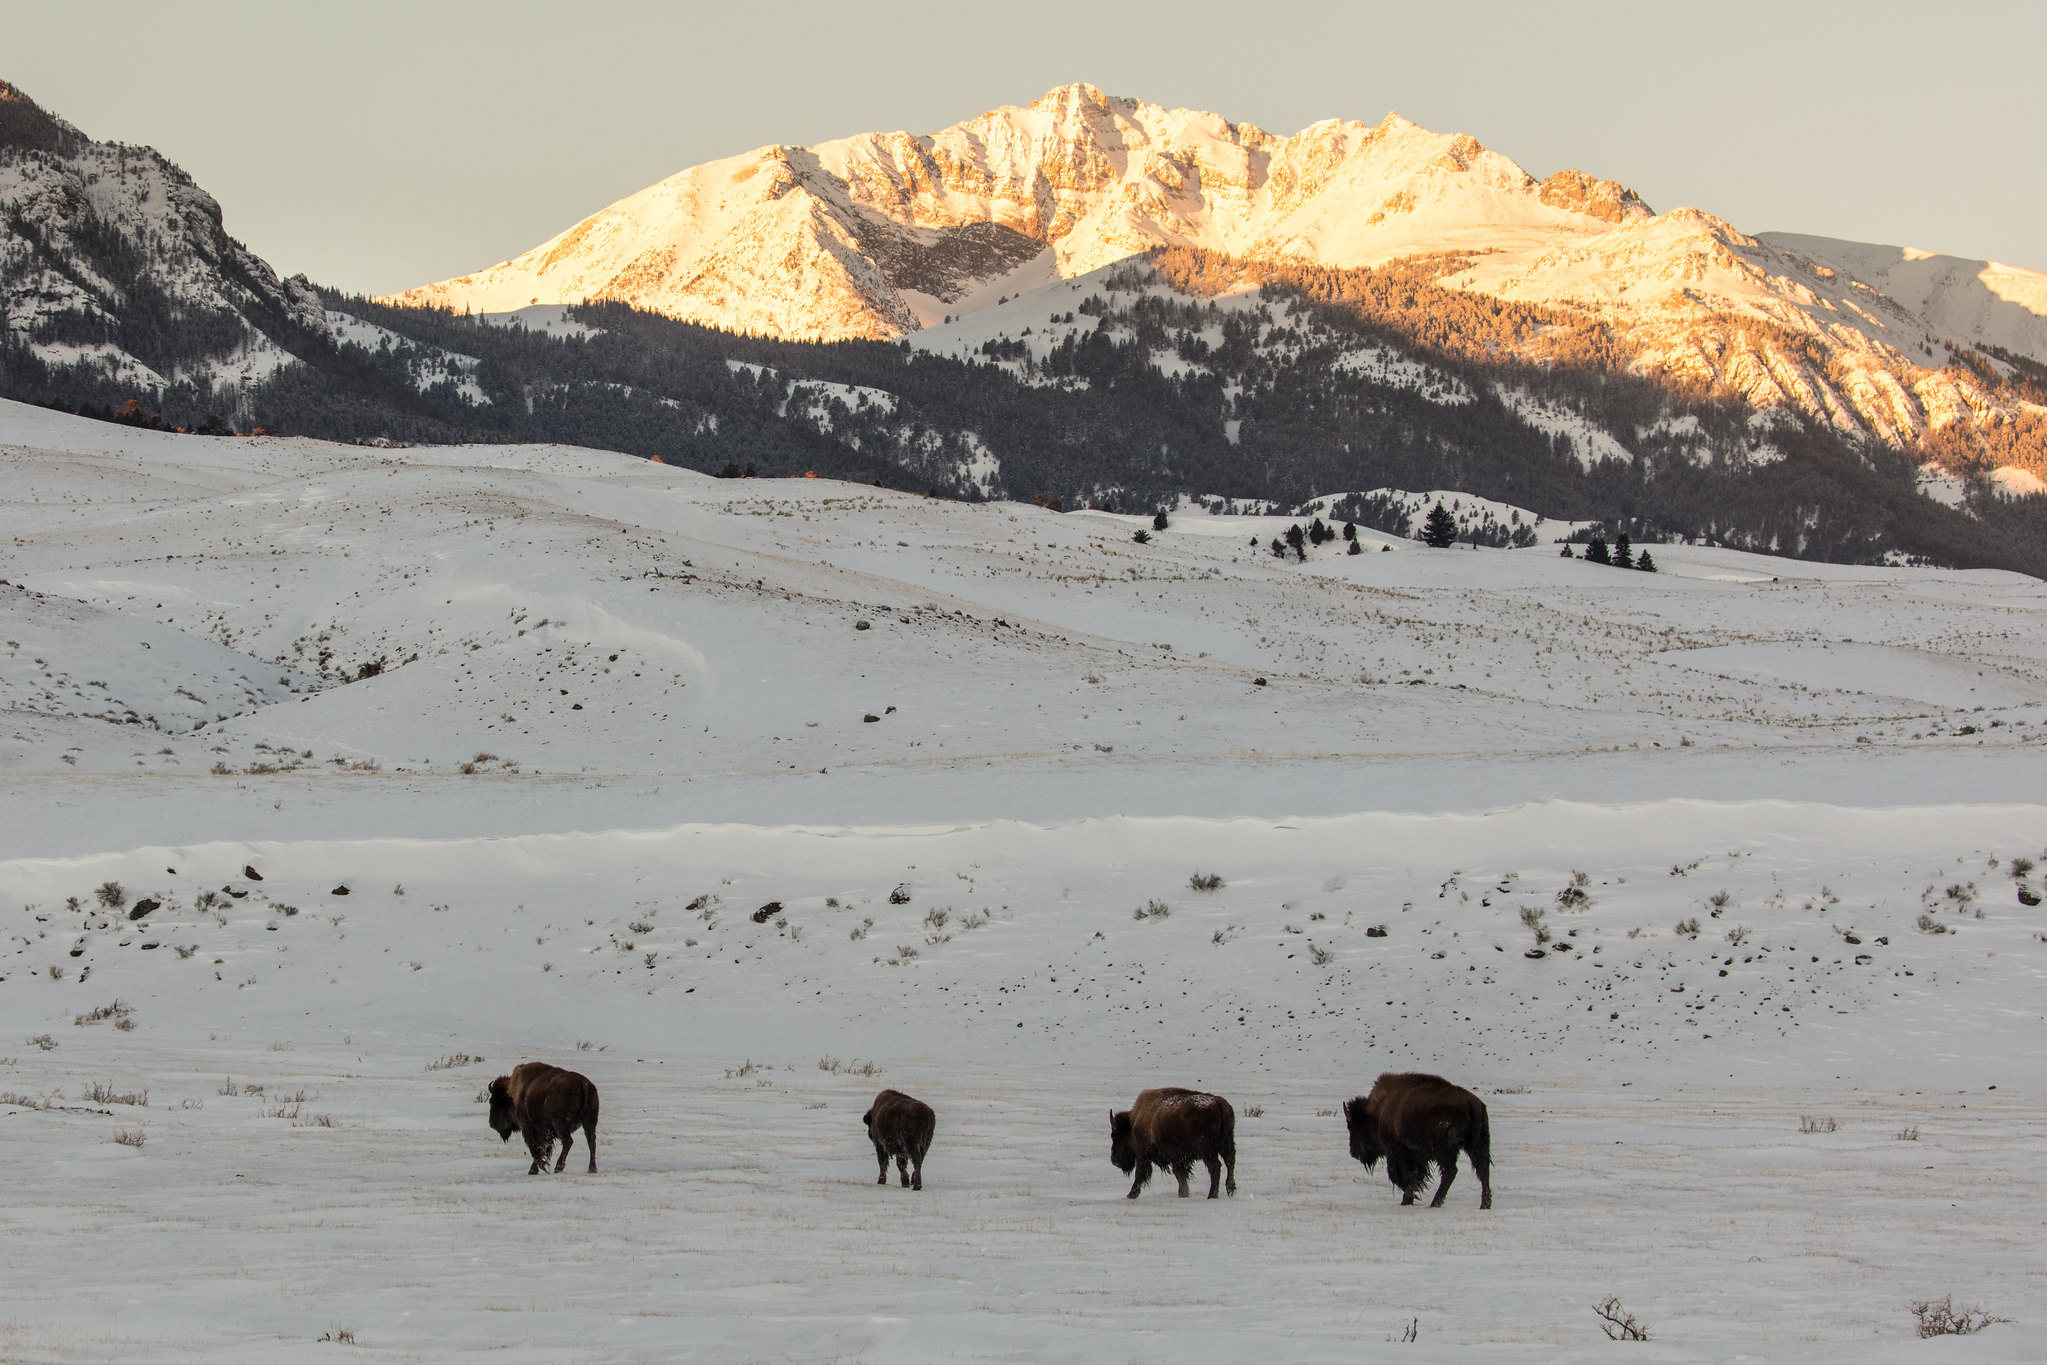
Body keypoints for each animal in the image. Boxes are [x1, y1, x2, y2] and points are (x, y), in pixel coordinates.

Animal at [1342, 1080, 1490, 1203]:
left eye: (1355, 1128)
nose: (1354, 1152)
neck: (1380, 1112)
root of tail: (1470, 1103)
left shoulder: (1398, 1151)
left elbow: (1400, 1175)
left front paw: (1408, 1198)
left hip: (1444, 1151)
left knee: (1450, 1171)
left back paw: (1435, 1203)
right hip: (1477, 1144)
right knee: (1483, 1170)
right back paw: (1485, 1204)